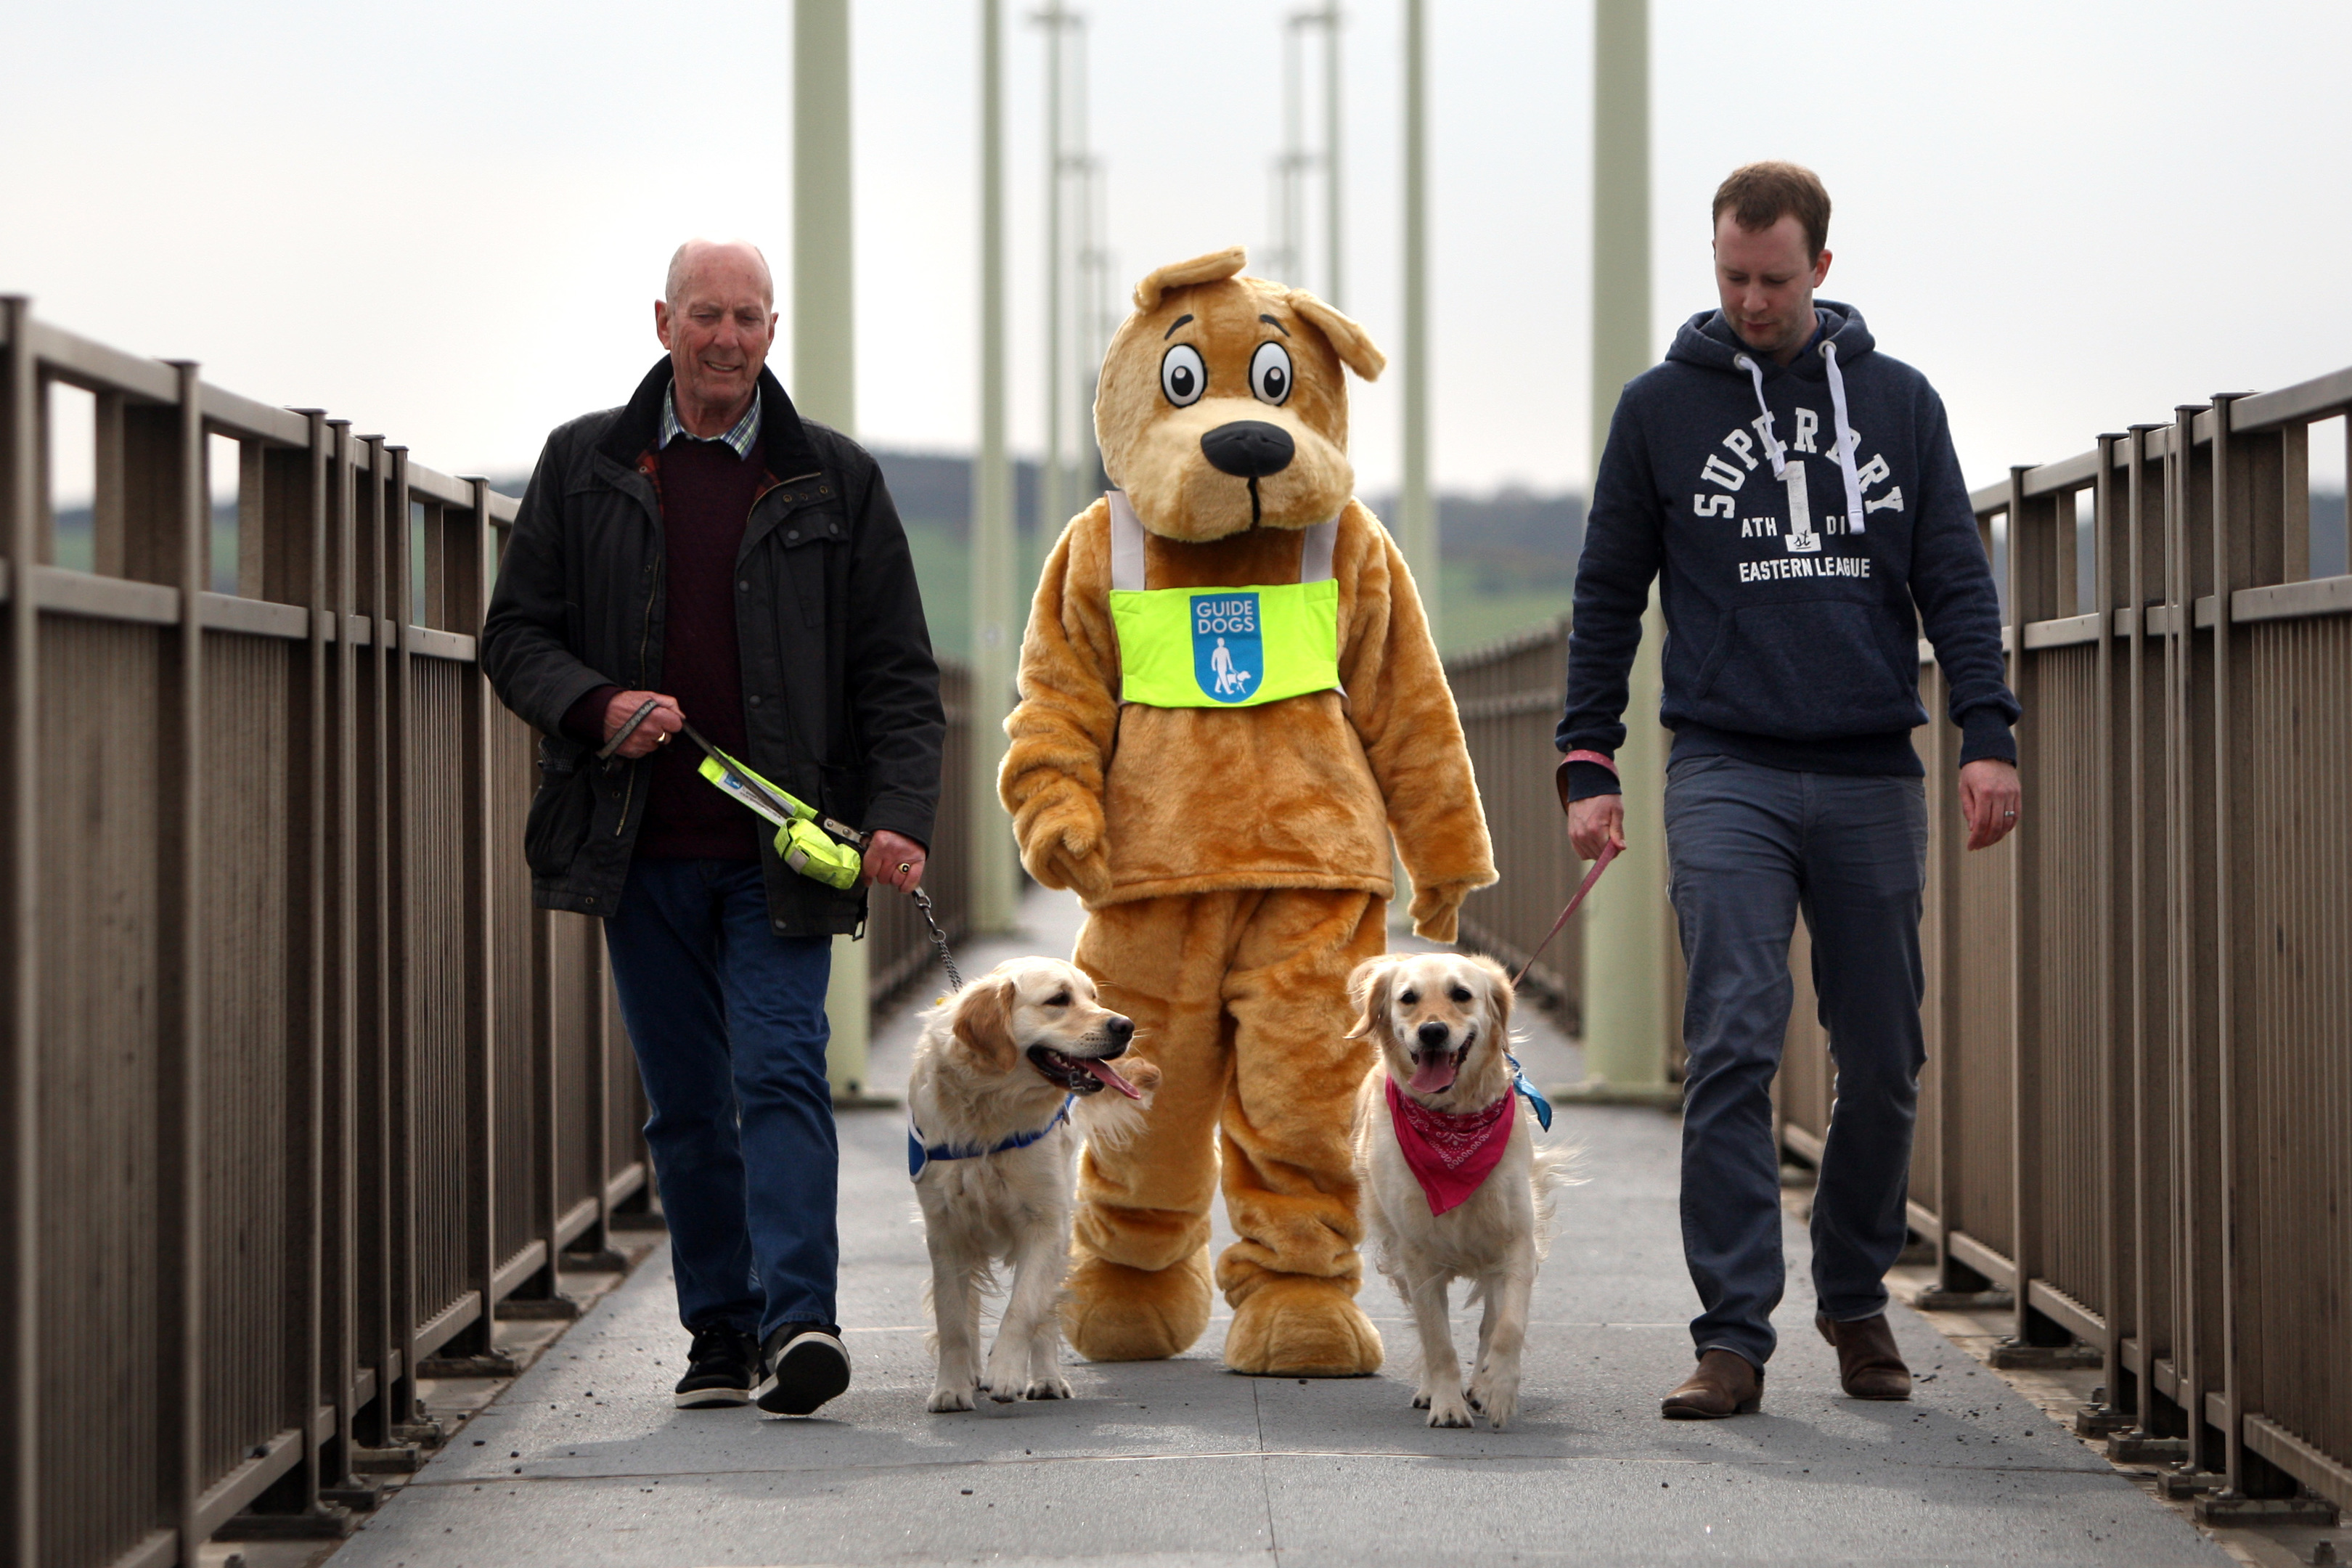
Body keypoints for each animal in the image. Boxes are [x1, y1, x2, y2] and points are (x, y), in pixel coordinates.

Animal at [898, 963, 1157, 1419]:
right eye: (1058, 1000)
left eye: (1093, 996)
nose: (1125, 1025)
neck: (991, 1112)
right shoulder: (945, 1229)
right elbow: (952, 1318)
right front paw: (951, 1387)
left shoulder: (1045, 1223)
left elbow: (1024, 1307)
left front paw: (1005, 1372)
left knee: (1045, 1313)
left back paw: (1047, 1379)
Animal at [1355, 950, 1571, 1429]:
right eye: (1408, 998)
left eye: (1462, 994)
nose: (1432, 1031)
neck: (1452, 1127)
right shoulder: (1417, 1253)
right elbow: (1437, 1337)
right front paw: (1447, 1403)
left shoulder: (1517, 1242)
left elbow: (1507, 1327)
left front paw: (1497, 1389)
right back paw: (1432, 1390)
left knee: (1490, 1321)